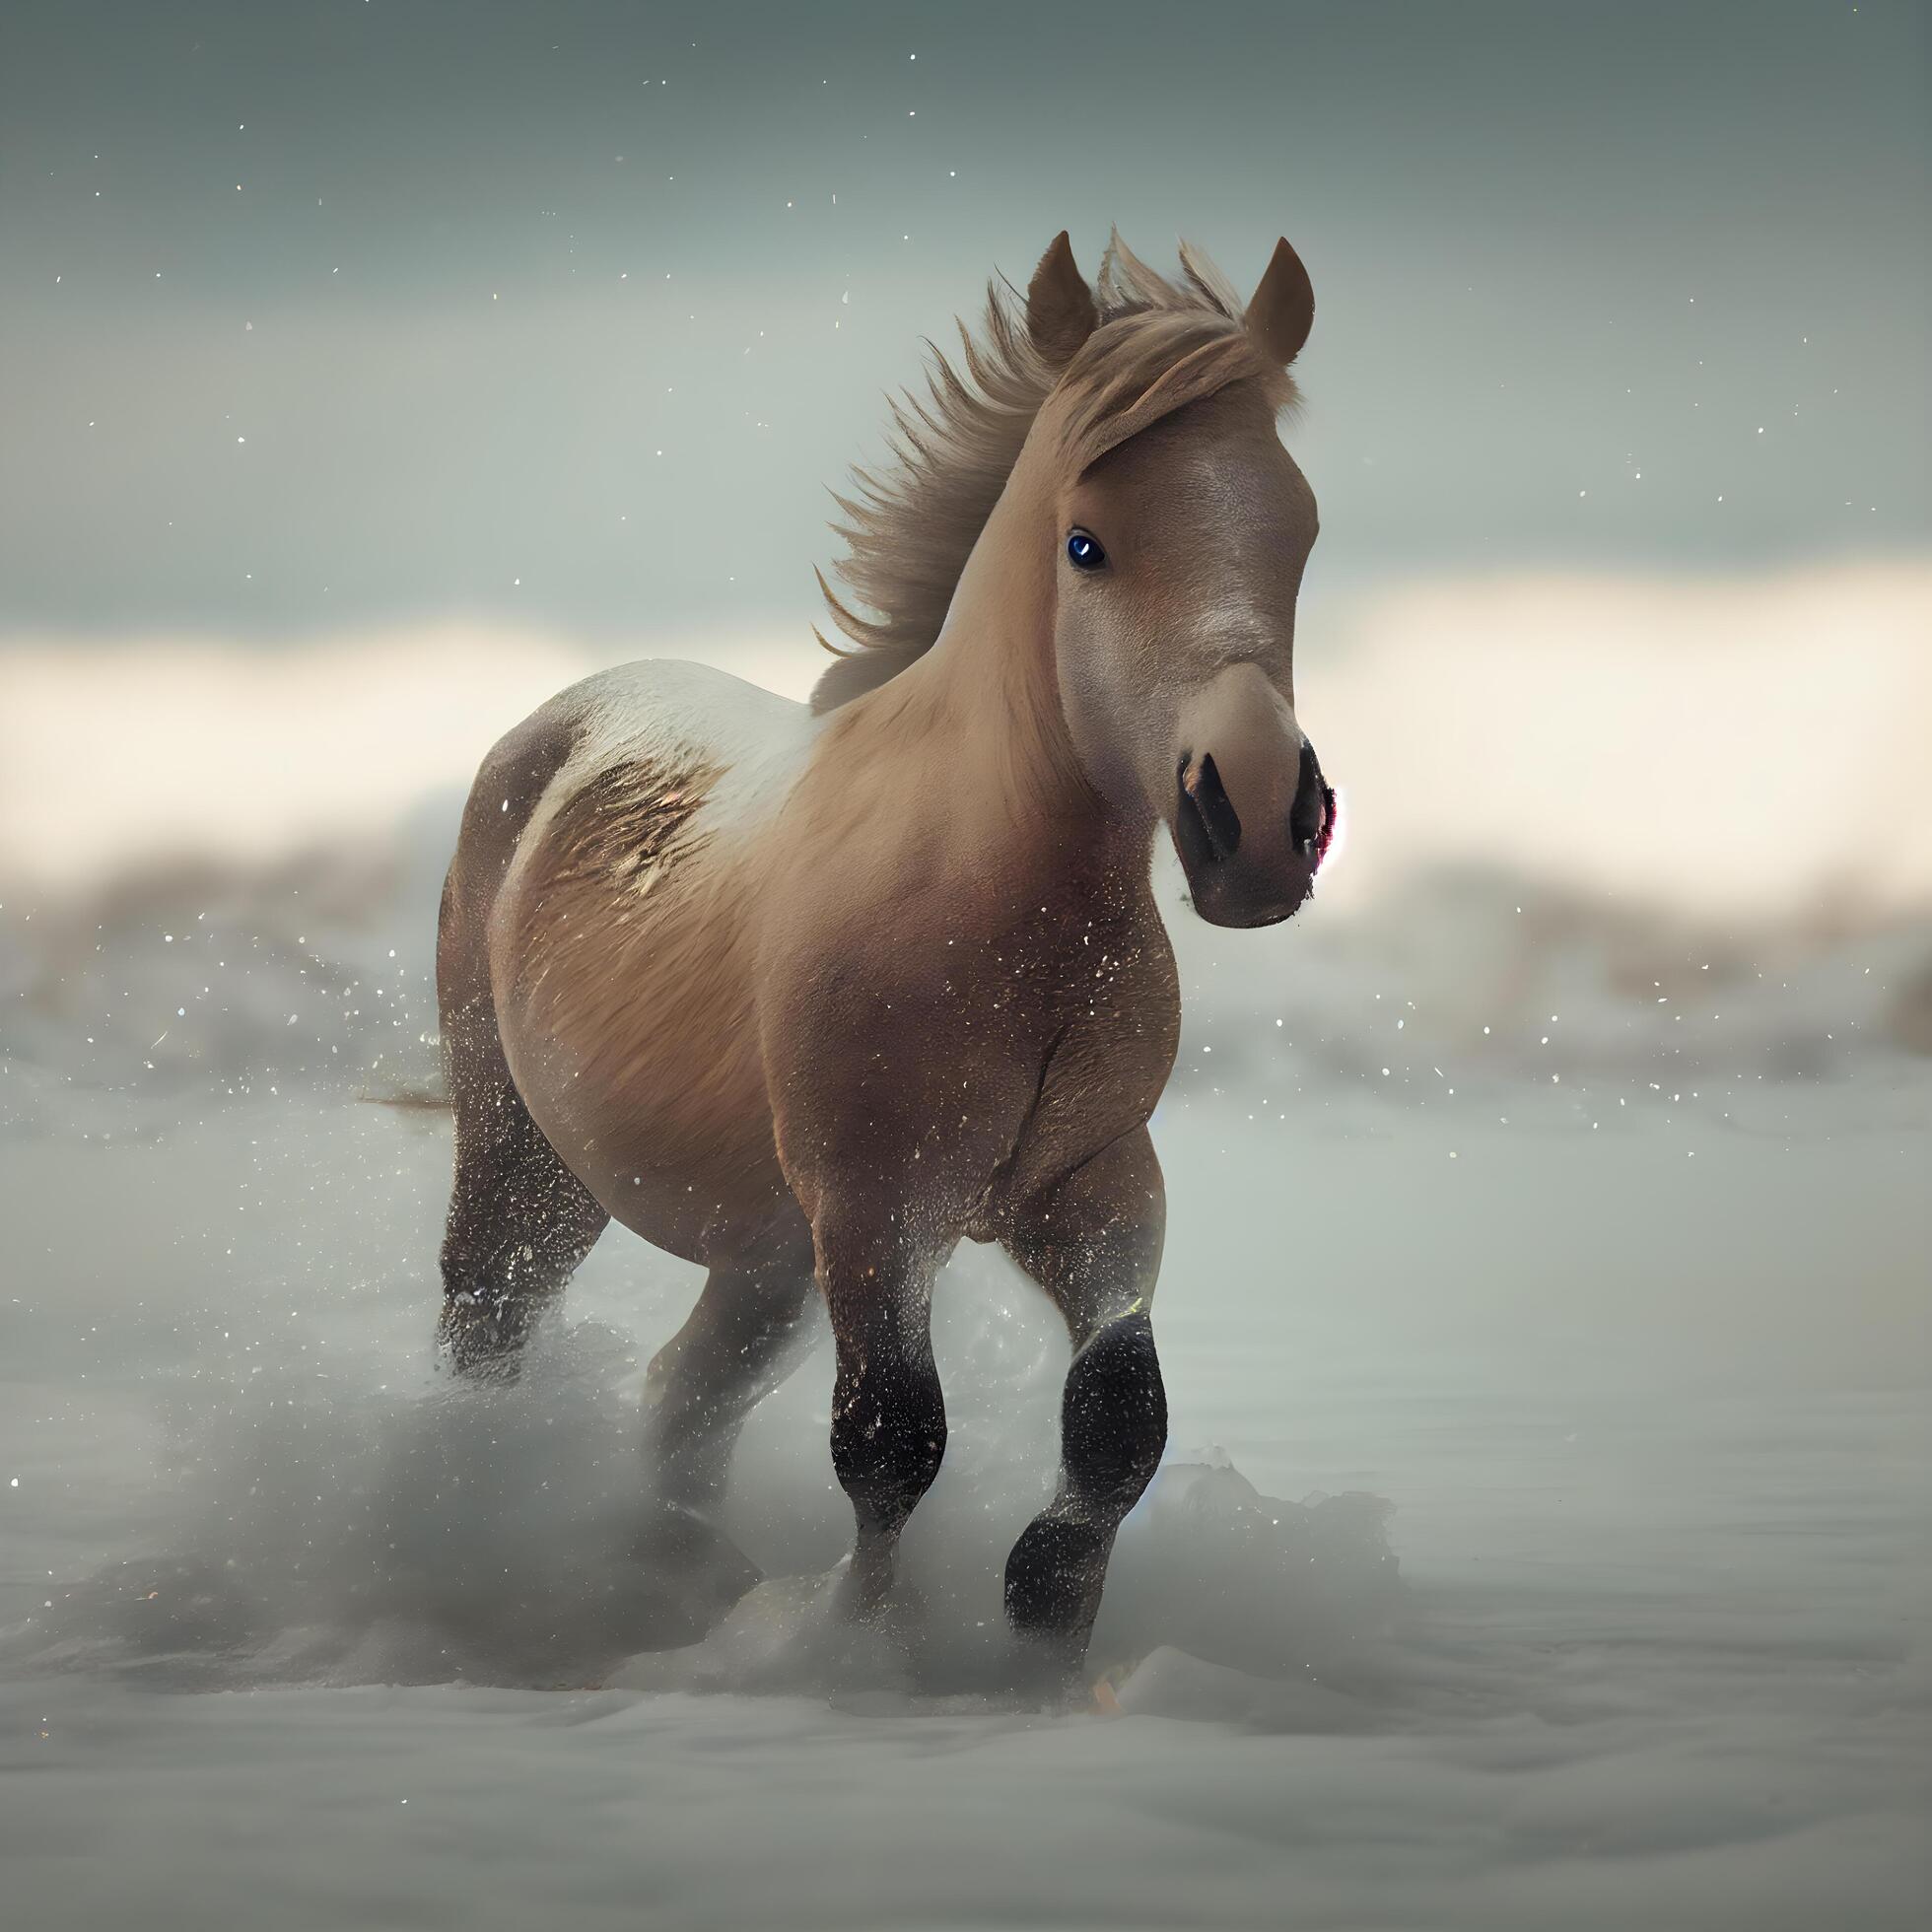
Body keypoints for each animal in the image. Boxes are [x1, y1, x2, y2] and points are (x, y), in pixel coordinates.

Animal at [431, 234, 1337, 1699]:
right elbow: (892, 1439)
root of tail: (557, 720)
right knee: (490, 1336)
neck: (994, 907)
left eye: (1299, 530)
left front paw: (1044, 1632)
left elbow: (1117, 1419)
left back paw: (676, 1580)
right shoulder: (876, 1205)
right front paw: (864, 1650)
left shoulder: (1094, 1182)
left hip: (760, 1257)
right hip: (533, 1163)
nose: (1254, 822)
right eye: (1086, 543)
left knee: (682, 1401)